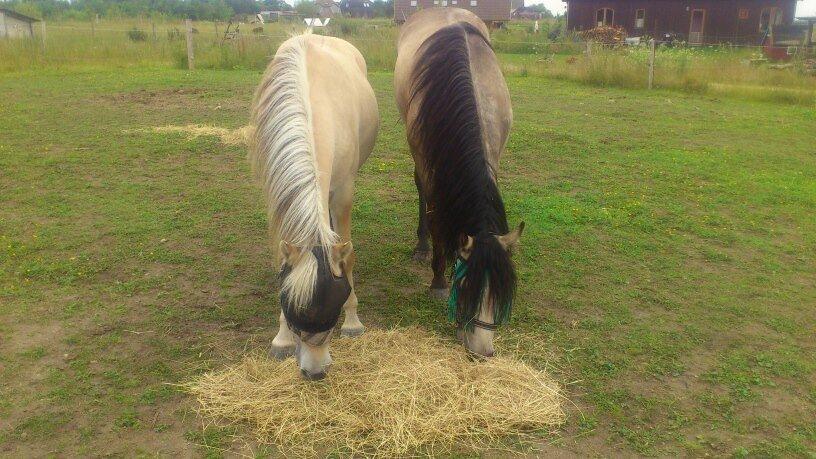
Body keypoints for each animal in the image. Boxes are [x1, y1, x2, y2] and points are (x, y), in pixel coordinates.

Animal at [249, 34, 380, 380]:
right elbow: (283, 265)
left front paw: (353, 322)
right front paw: (281, 339)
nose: (315, 371)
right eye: (295, 317)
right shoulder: (278, 198)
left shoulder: (344, 192)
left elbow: (347, 256)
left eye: (332, 317)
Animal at [394, 9, 524, 358]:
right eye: (464, 287)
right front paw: (438, 280)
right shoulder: (430, 166)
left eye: (501, 294)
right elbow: (438, 222)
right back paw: (421, 245)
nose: (481, 352)